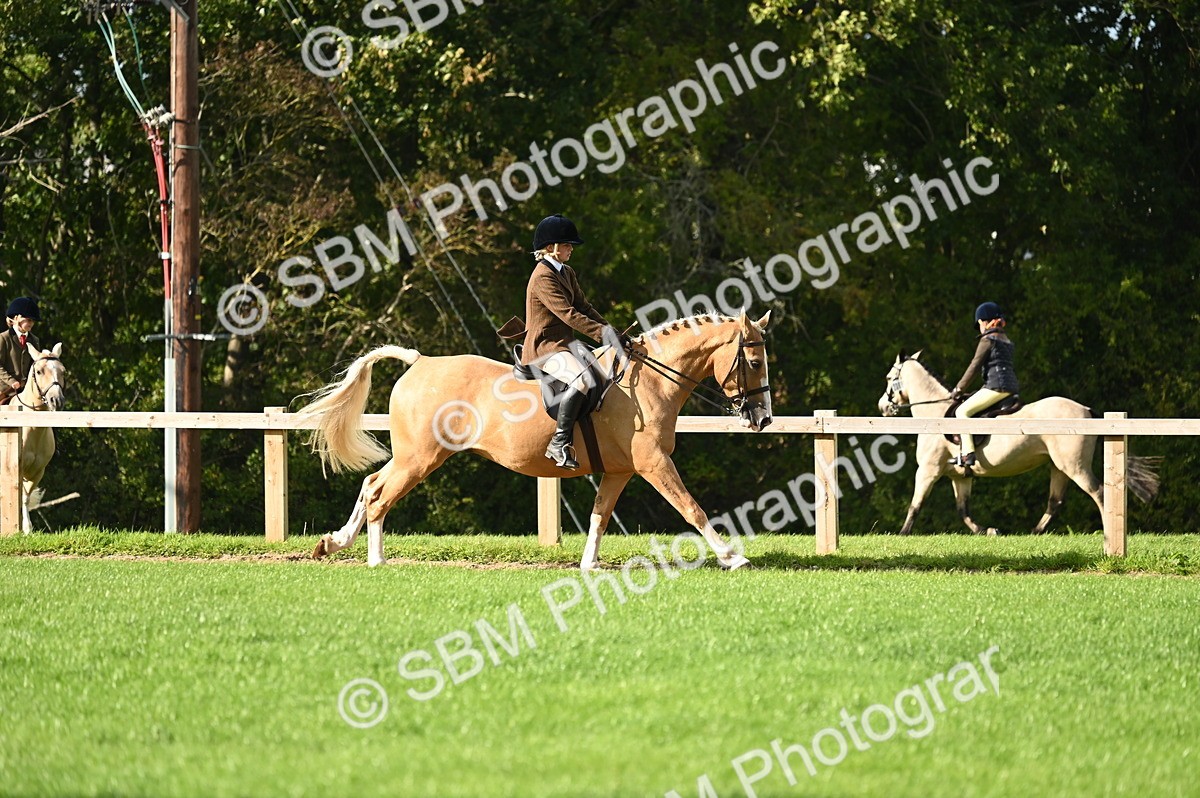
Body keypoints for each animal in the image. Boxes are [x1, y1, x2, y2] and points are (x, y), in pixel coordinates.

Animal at [4, 342, 66, 532]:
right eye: (39, 371)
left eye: (63, 371)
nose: (56, 400)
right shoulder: (16, 469)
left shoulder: (38, 471)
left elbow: (24, 497)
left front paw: (26, 529)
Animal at [303, 311, 773, 569]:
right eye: (753, 361)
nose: (763, 419)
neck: (650, 381)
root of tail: (420, 362)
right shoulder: (654, 464)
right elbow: (692, 509)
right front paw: (733, 557)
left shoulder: (620, 471)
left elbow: (599, 516)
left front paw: (589, 564)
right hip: (419, 458)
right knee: (381, 495)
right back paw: (376, 559)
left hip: (414, 456)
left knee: (371, 485)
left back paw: (335, 543)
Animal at [878, 351, 1158, 535]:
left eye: (890, 378)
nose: (883, 407)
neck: (935, 416)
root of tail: (1087, 410)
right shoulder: (960, 476)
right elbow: (963, 510)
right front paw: (987, 530)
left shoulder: (927, 471)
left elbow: (916, 504)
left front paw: (902, 534)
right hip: (1059, 467)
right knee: (1055, 501)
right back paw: (1034, 531)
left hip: (1075, 467)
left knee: (1098, 493)